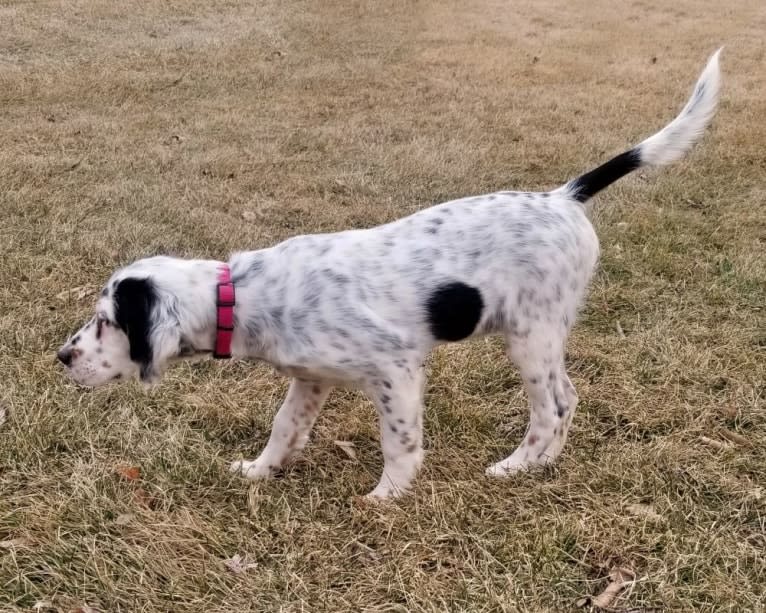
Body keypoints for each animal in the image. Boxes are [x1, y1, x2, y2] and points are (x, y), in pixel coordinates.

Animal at [57, 47, 724, 498]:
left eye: (106, 321)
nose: (62, 357)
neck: (244, 294)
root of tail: (563, 197)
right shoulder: (310, 379)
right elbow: (284, 428)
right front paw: (259, 470)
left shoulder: (396, 369)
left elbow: (399, 441)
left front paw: (387, 497)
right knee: (569, 399)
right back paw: (543, 466)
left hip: (531, 335)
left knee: (554, 405)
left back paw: (517, 465)